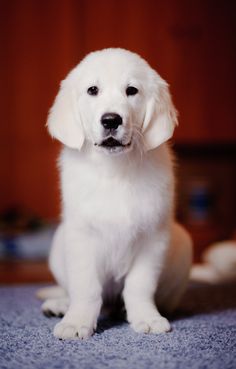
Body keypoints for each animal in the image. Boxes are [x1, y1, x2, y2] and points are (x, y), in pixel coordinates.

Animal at [40, 49, 192, 340]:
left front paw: (146, 316)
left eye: (131, 90)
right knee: (71, 288)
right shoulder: (81, 234)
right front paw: (77, 321)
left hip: (183, 243)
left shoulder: (152, 236)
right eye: (92, 90)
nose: (111, 120)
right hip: (57, 243)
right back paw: (60, 304)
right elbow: (85, 286)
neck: (116, 170)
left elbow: (139, 285)